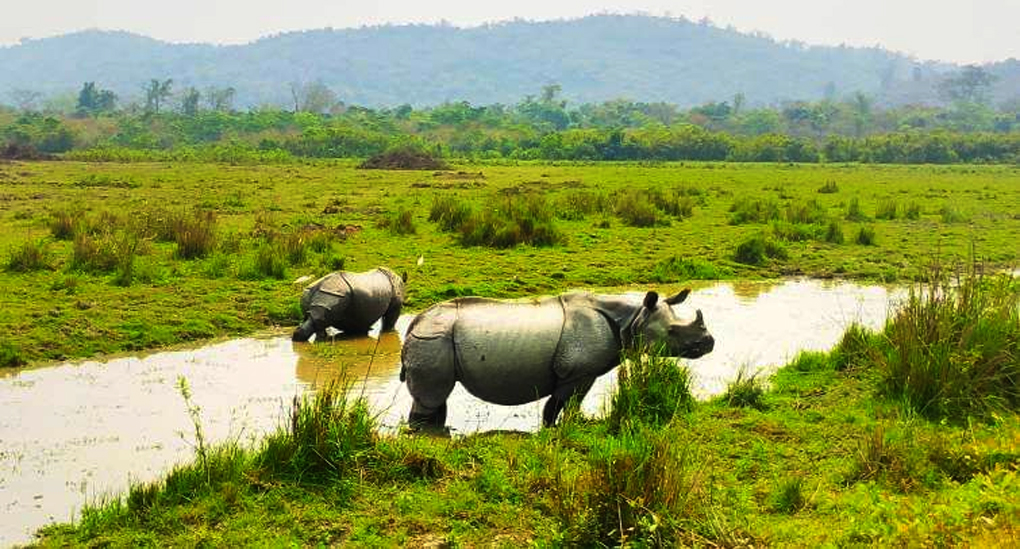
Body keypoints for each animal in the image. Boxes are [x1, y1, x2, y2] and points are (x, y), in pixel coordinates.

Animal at [400, 288, 714, 429]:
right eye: (673, 332)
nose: (709, 343)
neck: (633, 318)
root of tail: (414, 323)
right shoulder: (577, 373)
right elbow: (562, 405)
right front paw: (564, 429)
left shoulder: (574, 373)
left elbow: (560, 406)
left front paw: (559, 428)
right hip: (433, 340)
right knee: (431, 398)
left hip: (434, 338)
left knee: (437, 399)